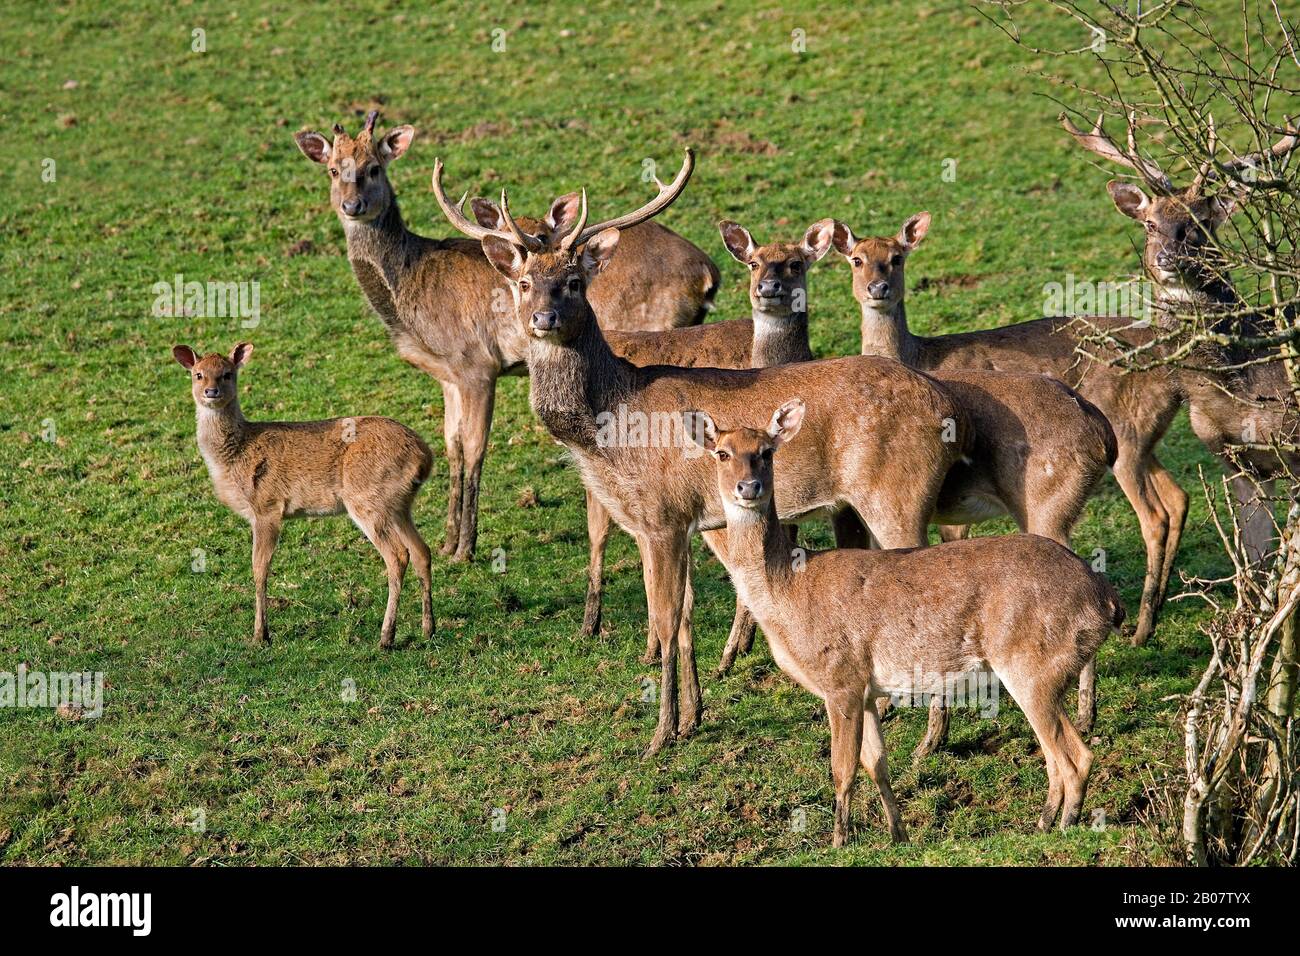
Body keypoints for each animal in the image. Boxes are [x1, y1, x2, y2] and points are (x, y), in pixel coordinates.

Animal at [170, 343, 436, 650]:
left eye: (227, 373)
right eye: (198, 374)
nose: (211, 391)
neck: (234, 456)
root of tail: (425, 457)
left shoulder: (267, 506)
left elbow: (259, 568)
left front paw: (260, 635)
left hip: (369, 498)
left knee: (398, 555)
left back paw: (386, 637)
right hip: (400, 505)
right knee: (421, 551)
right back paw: (428, 629)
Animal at [293, 110, 722, 567]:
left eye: (374, 168)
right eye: (333, 169)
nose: (351, 206)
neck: (411, 294)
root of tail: (707, 273)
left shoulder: (476, 363)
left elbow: (475, 447)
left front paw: (465, 548)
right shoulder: (447, 375)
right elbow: (452, 445)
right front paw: (447, 541)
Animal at [436, 151, 977, 754]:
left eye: (574, 282)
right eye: (525, 281)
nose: (543, 320)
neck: (608, 427)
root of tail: (948, 410)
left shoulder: (662, 517)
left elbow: (666, 618)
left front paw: (661, 733)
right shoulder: (676, 520)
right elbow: (687, 613)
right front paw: (692, 717)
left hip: (898, 493)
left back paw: (932, 739)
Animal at [691, 400, 1128, 848]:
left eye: (767, 452)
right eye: (722, 453)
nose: (749, 487)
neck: (788, 591)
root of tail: (1107, 601)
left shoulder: (841, 677)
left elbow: (842, 768)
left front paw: (838, 841)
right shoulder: (866, 689)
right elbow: (876, 763)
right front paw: (897, 833)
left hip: (1033, 665)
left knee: (1075, 755)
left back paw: (1063, 825)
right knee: (1058, 757)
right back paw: (1043, 822)